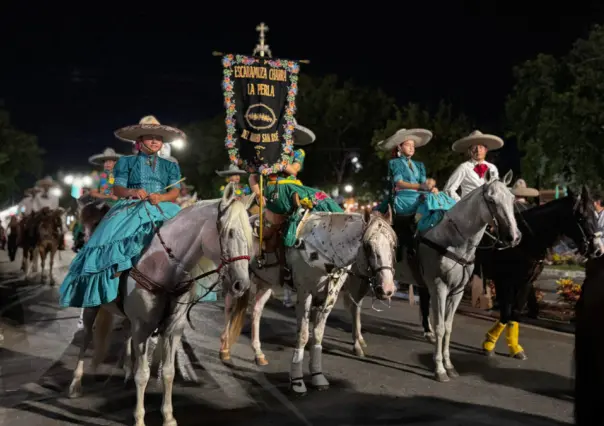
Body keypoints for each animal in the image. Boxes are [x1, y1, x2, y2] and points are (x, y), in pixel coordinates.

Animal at [66, 185, 252, 426]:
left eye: (250, 233)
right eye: (229, 232)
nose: (242, 284)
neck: (164, 267)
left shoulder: (173, 328)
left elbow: (168, 372)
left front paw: (169, 417)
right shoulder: (143, 328)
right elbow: (143, 374)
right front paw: (139, 418)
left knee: (125, 335)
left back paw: (126, 369)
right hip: (91, 307)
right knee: (87, 337)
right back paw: (75, 384)